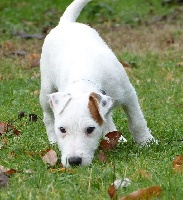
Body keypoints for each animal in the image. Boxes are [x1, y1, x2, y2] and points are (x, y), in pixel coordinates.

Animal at [39, 0, 154, 167]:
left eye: (90, 129)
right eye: (62, 129)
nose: (74, 161)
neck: (84, 77)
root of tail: (66, 23)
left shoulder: (129, 95)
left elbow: (137, 121)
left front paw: (147, 142)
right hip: (46, 90)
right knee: (48, 117)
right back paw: (53, 141)